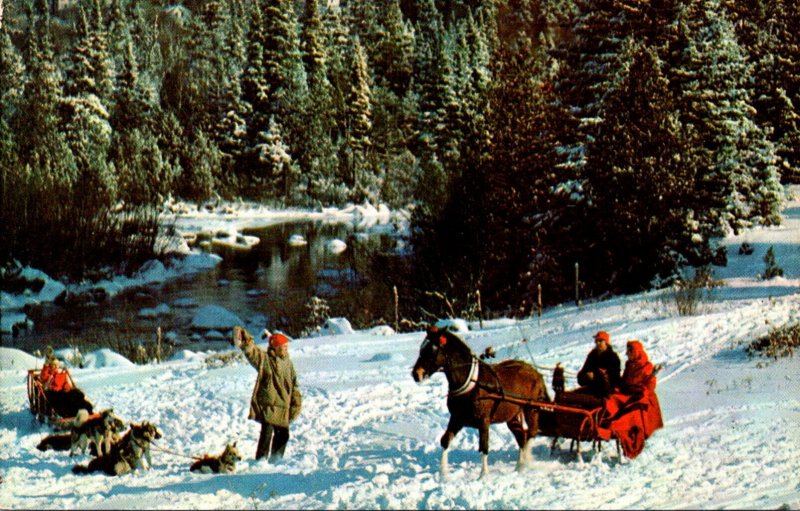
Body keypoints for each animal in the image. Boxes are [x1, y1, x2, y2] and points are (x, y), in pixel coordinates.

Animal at [412, 328, 552, 480]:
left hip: (530, 409)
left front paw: (483, 475)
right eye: (421, 348)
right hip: (512, 416)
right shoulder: (456, 419)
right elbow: (445, 441)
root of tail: (536, 372)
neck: (473, 384)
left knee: (532, 432)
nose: (416, 374)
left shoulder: (483, 421)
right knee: (521, 436)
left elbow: (483, 447)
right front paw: (443, 473)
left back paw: (526, 462)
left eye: (431, 350)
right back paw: (519, 467)